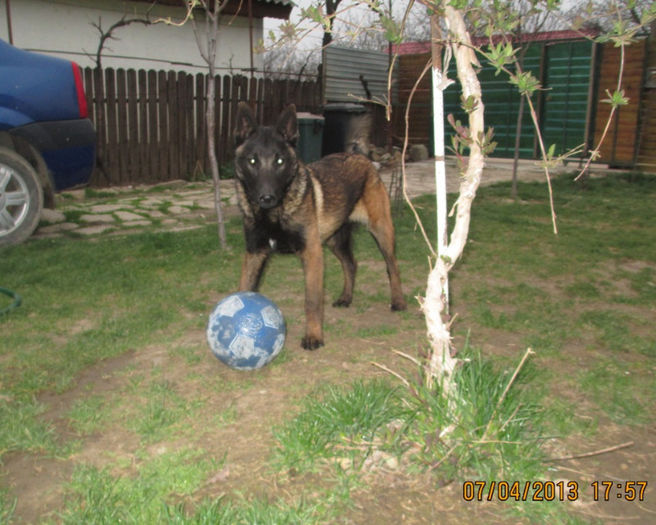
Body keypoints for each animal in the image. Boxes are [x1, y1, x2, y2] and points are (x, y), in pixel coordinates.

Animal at [231, 102, 404, 348]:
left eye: (280, 161)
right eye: (252, 161)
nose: (267, 197)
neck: (273, 214)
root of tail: (360, 156)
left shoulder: (311, 254)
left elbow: (312, 301)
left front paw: (313, 336)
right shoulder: (254, 253)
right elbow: (243, 289)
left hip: (381, 232)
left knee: (392, 266)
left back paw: (398, 301)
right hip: (334, 241)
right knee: (351, 264)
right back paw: (346, 297)